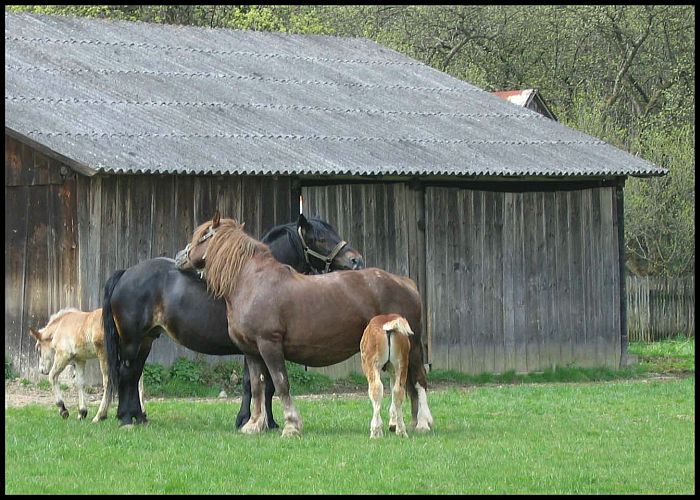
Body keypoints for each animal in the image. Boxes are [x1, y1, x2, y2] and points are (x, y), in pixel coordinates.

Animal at [104, 213, 366, 428]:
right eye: (320, 238)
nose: (357, 260)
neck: (252, 277)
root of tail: (126, 273)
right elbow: (256, 383)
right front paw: (248, 420)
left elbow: (265, 384)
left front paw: (267, 422)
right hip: (131, 340)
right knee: (126, 373)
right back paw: (126, 417)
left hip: (146, 340)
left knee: (135, 373)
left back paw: (137, 416)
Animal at [175, 213, 432, 436]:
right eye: (320, 238)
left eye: (201, 237)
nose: (179, 257)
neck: (252, 282)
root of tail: (405, 282)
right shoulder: (251, 352)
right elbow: (257, 387)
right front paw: (253, 425)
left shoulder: (269, 345)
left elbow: (280, 384)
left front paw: (290, 425)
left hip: (412, 347)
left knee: (419, 380)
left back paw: (422, 423)